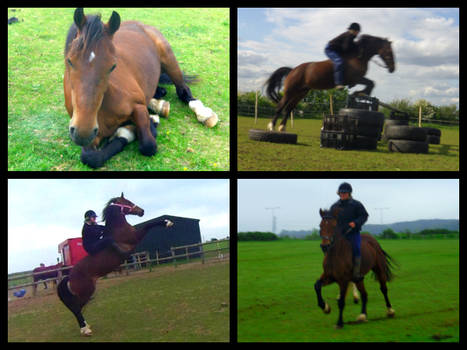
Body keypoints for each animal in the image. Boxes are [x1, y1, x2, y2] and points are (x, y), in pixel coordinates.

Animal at [57, 193, 174, 334]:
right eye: (128, 202)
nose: (142, 211)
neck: (118, 229)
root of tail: (69, 277)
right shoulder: (136, 236)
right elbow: (149, 225)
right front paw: (167, 222)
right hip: (86, 292)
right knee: (76, 308)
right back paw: (85, 330)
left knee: (77, 308)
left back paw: (86, 326)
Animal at [63, 7, 218, 168]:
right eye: (69, 60)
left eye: (113, 66)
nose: (83, 132)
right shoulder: (91, 136)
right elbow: (90, 157)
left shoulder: (138, 107)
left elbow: (148, 145)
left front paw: (138, 128)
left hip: (170, 60)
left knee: (183, 91)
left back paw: (204, 114)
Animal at [264, 34, 394, 133]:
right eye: (389, 51)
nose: (392, 69)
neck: (359, 56)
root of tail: (292, 70)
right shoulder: (355, 78)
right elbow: (370, 83)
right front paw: (360, 92)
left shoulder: (358, 78)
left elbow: (371, 83)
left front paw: (361, 93)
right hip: (290, 91)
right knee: (280, 106)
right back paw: (271, 126)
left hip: (300, 93)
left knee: (289, 108)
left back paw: (282, 127)